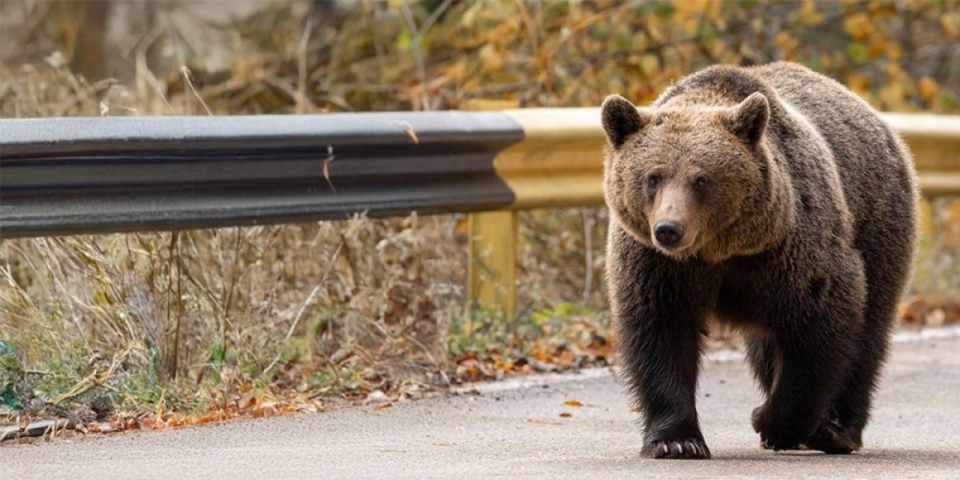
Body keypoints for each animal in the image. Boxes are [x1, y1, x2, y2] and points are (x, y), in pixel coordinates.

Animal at [604, 62, 920, 460]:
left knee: (869, 332)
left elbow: (819, 327)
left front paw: (773, 421)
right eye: (652, 177)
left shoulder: (791, 251)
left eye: (701, 179)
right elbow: (662, 331)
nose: (668, 229)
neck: (719, 250)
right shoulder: (659, 265)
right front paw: (676, 440)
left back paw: (839, 430)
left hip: (878, 223)